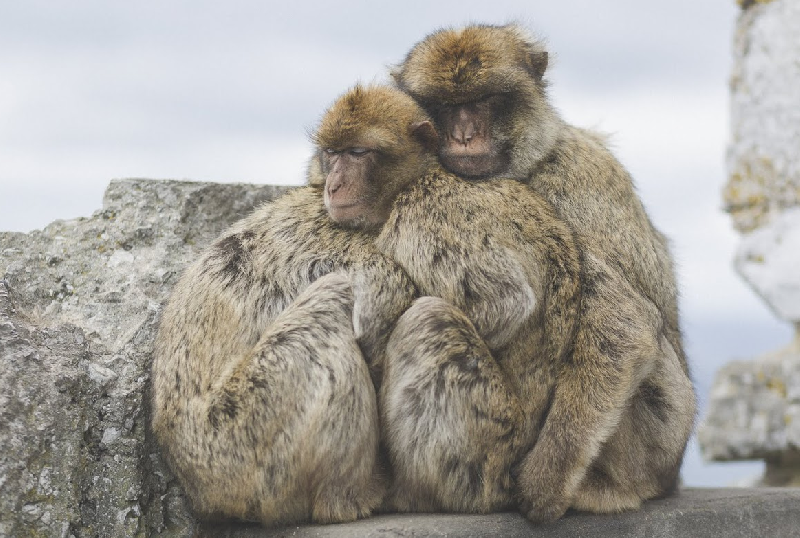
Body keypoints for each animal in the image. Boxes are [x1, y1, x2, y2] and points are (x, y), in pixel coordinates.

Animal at [390, 24, 696, 520]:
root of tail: (669, 477)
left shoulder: (568, 185)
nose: (464, 134)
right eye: (446, 106)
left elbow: (624, 324)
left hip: (657, 440)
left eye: (485, 100)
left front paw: (543, 485)